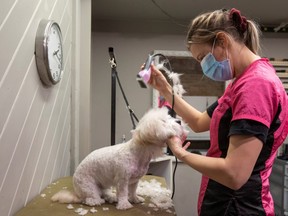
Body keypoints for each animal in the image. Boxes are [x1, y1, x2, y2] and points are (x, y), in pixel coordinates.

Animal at [51, 107, 187, 209]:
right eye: (163, 121)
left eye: (171, 118)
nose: (179, 122)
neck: (137, 154)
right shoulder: (122, 180)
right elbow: (123, 193)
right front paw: (124, 204)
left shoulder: (134, 181)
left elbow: (132, 191)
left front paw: (135, 199)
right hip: (88, 187)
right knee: (90, 198)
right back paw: (97, 201)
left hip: (104, 185)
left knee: (104, 193)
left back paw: (111, 197)